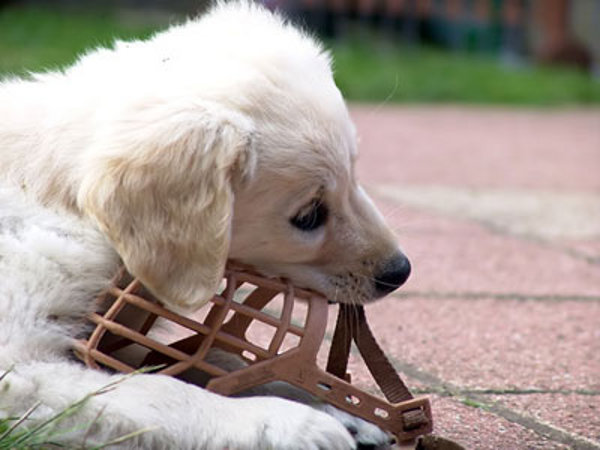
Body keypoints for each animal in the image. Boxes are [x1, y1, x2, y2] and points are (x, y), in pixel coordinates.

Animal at [0, 1, 410, 448]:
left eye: (354, 175)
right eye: (308, 216)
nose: (400, 272)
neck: (59, 192)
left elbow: (210, 360)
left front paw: (333, 408)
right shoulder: (16, 364)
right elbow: (158, 391)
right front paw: (292, 421)